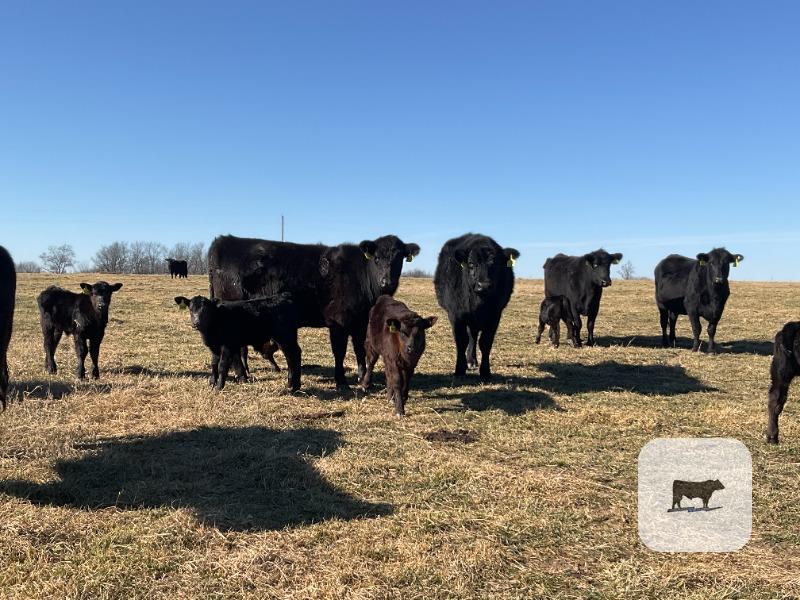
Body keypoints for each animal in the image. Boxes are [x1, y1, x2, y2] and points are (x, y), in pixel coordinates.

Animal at [207, 234, 420, 390]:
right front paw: (341, 382)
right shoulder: (338, 321)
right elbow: (339, 352)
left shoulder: (359, 322)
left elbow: (360, 349)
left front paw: (362, 379)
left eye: (399, 259)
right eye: (376, 259)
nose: (387, 281)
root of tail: (223, 241)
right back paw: (241, 376)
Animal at [434, 233, 519, 381]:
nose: (483, 285)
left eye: (495, 265)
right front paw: (459, 370)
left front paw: (485, 371)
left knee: (473, 336)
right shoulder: (456, 316)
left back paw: (472, 360)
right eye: (472, 264)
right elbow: (461, 341)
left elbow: (485, 343)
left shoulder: (495, 316)